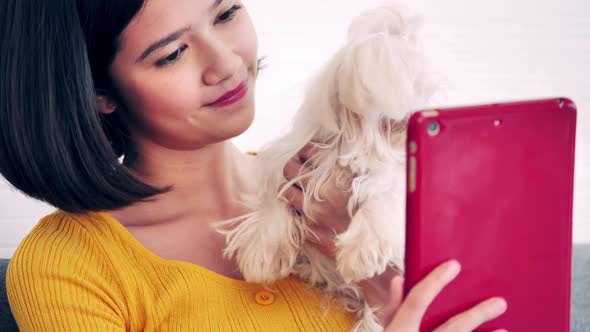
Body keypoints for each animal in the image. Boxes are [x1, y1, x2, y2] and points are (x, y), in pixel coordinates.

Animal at [216, 3, 434, 330]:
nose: (409, 116)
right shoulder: (295, 161)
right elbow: (276, 198)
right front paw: (263, 252)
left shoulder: (395, 176)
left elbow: (383, 196)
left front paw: (361, 250)